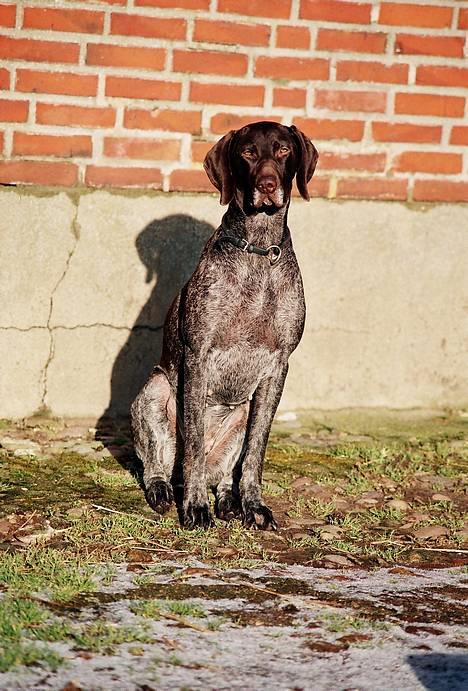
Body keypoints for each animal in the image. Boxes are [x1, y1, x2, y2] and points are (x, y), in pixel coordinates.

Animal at [133, 120, 318, 528]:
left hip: (243, 412)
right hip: (154, 390)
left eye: (283, 150)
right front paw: (195, 507)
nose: (267, 184)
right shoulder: (198, 355)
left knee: (224, 474)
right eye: (248, 152)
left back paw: (229, 500)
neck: (259, 250)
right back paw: (164, 490)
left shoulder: (278, 366)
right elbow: (194, 445)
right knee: (159, 464)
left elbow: (256, 451)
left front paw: (253, 504)